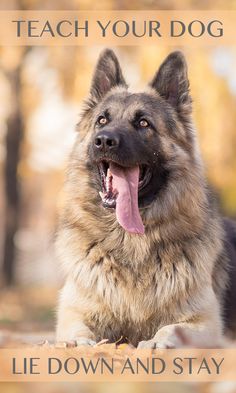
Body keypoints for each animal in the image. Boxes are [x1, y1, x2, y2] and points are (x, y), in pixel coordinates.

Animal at [55, 49, 236, 346]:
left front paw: (158, 342)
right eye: (101, 120)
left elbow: (172, 328)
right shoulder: (74, 312)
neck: (129, 240)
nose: (104, 141)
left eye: (143, 123)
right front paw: (80, 343)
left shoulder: (208, 325)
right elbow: (76, 330)